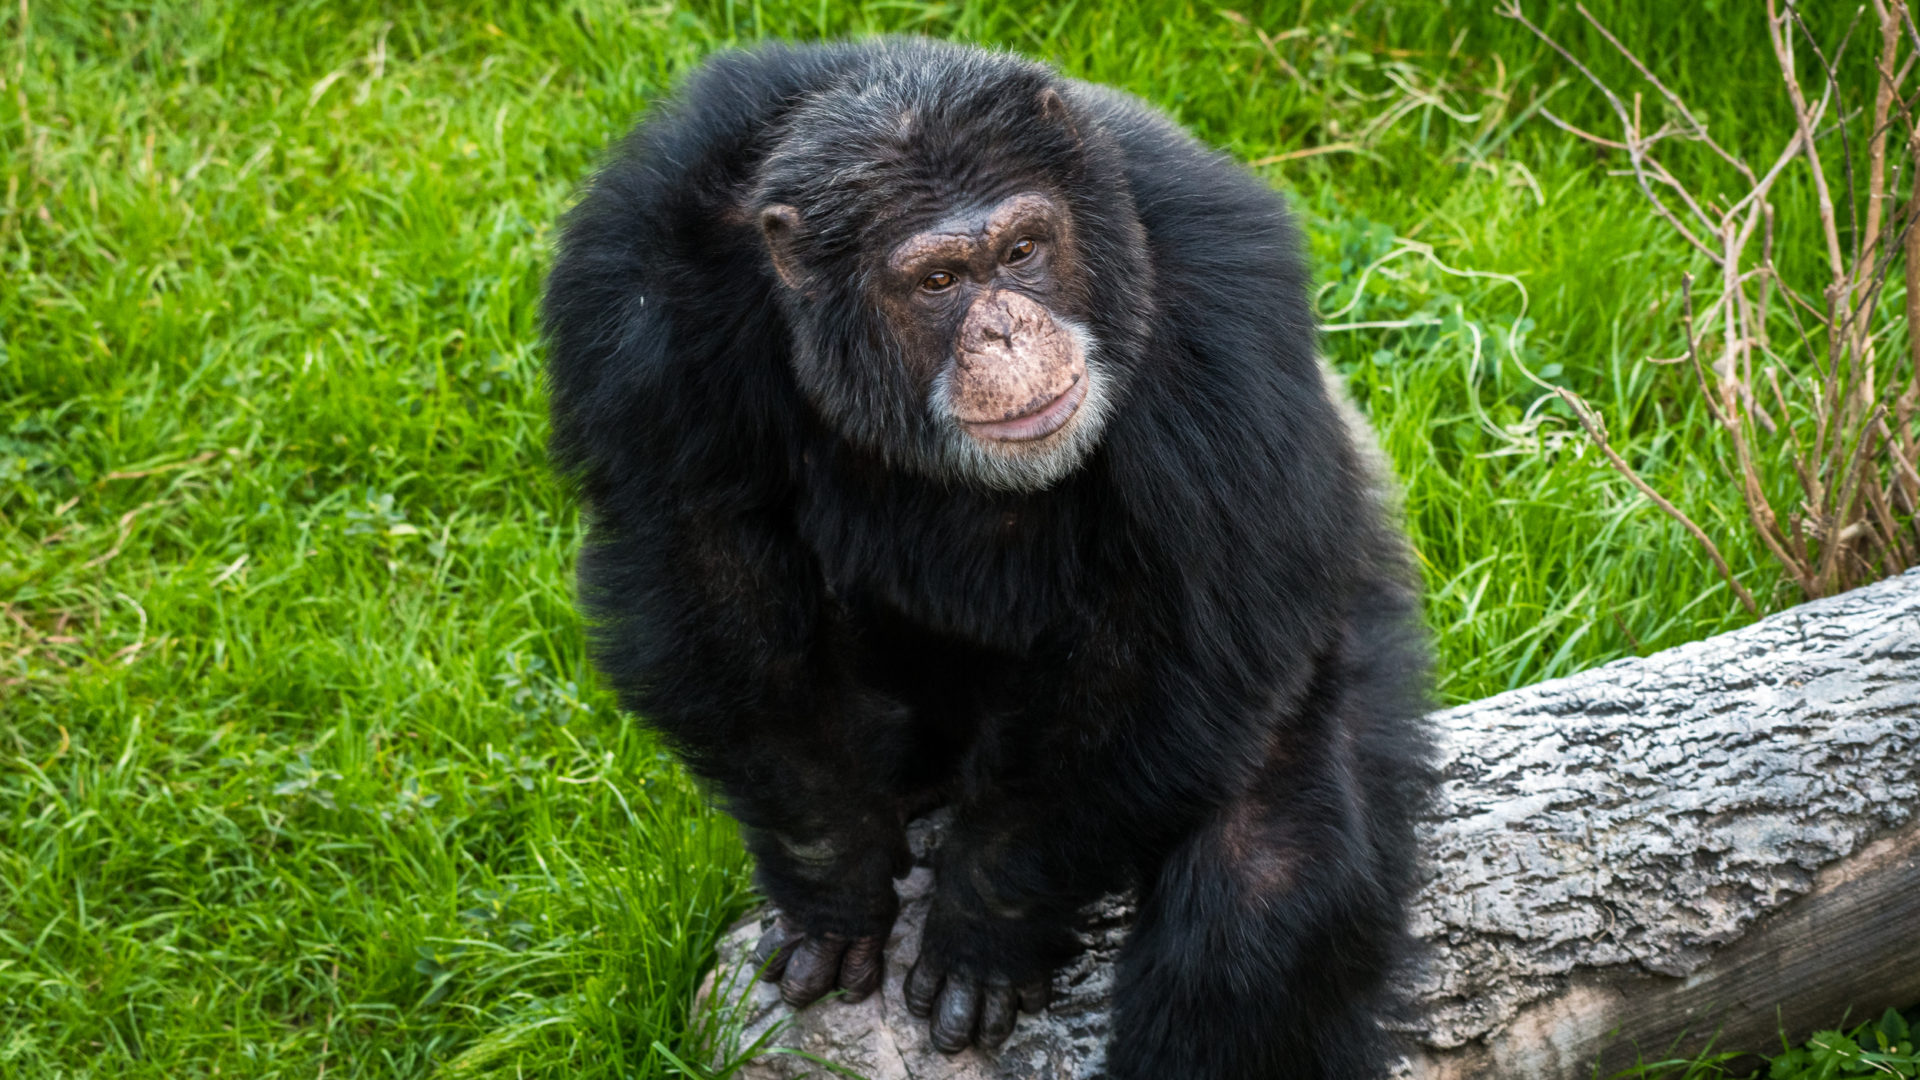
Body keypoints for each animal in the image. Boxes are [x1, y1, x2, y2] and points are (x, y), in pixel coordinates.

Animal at [537, 35, 1428, 1076]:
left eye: (1022, 251)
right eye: (938, 283)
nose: (1005, 327)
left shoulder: (1222, 306)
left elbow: (1172, 642)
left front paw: (987, 923)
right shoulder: (639, 287)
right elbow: (706, 564)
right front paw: (833, 879)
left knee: (1262, 906)